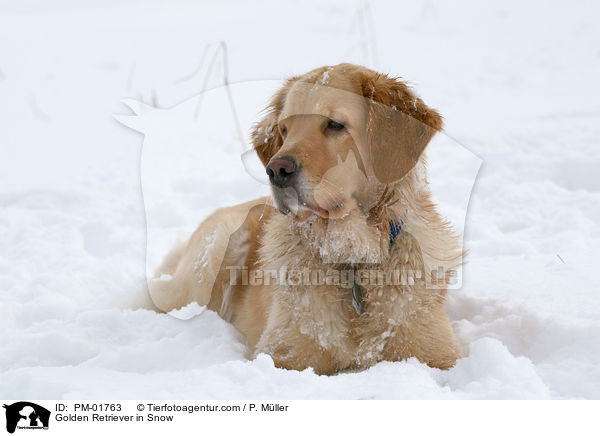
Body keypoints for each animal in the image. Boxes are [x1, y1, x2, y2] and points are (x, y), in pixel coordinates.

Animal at [148, 63, 462, 372]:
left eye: (334, 125)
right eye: (284, 129)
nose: (276, 170)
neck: (352, 257)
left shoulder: (436, 353)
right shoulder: (283, 353)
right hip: (214, 255)